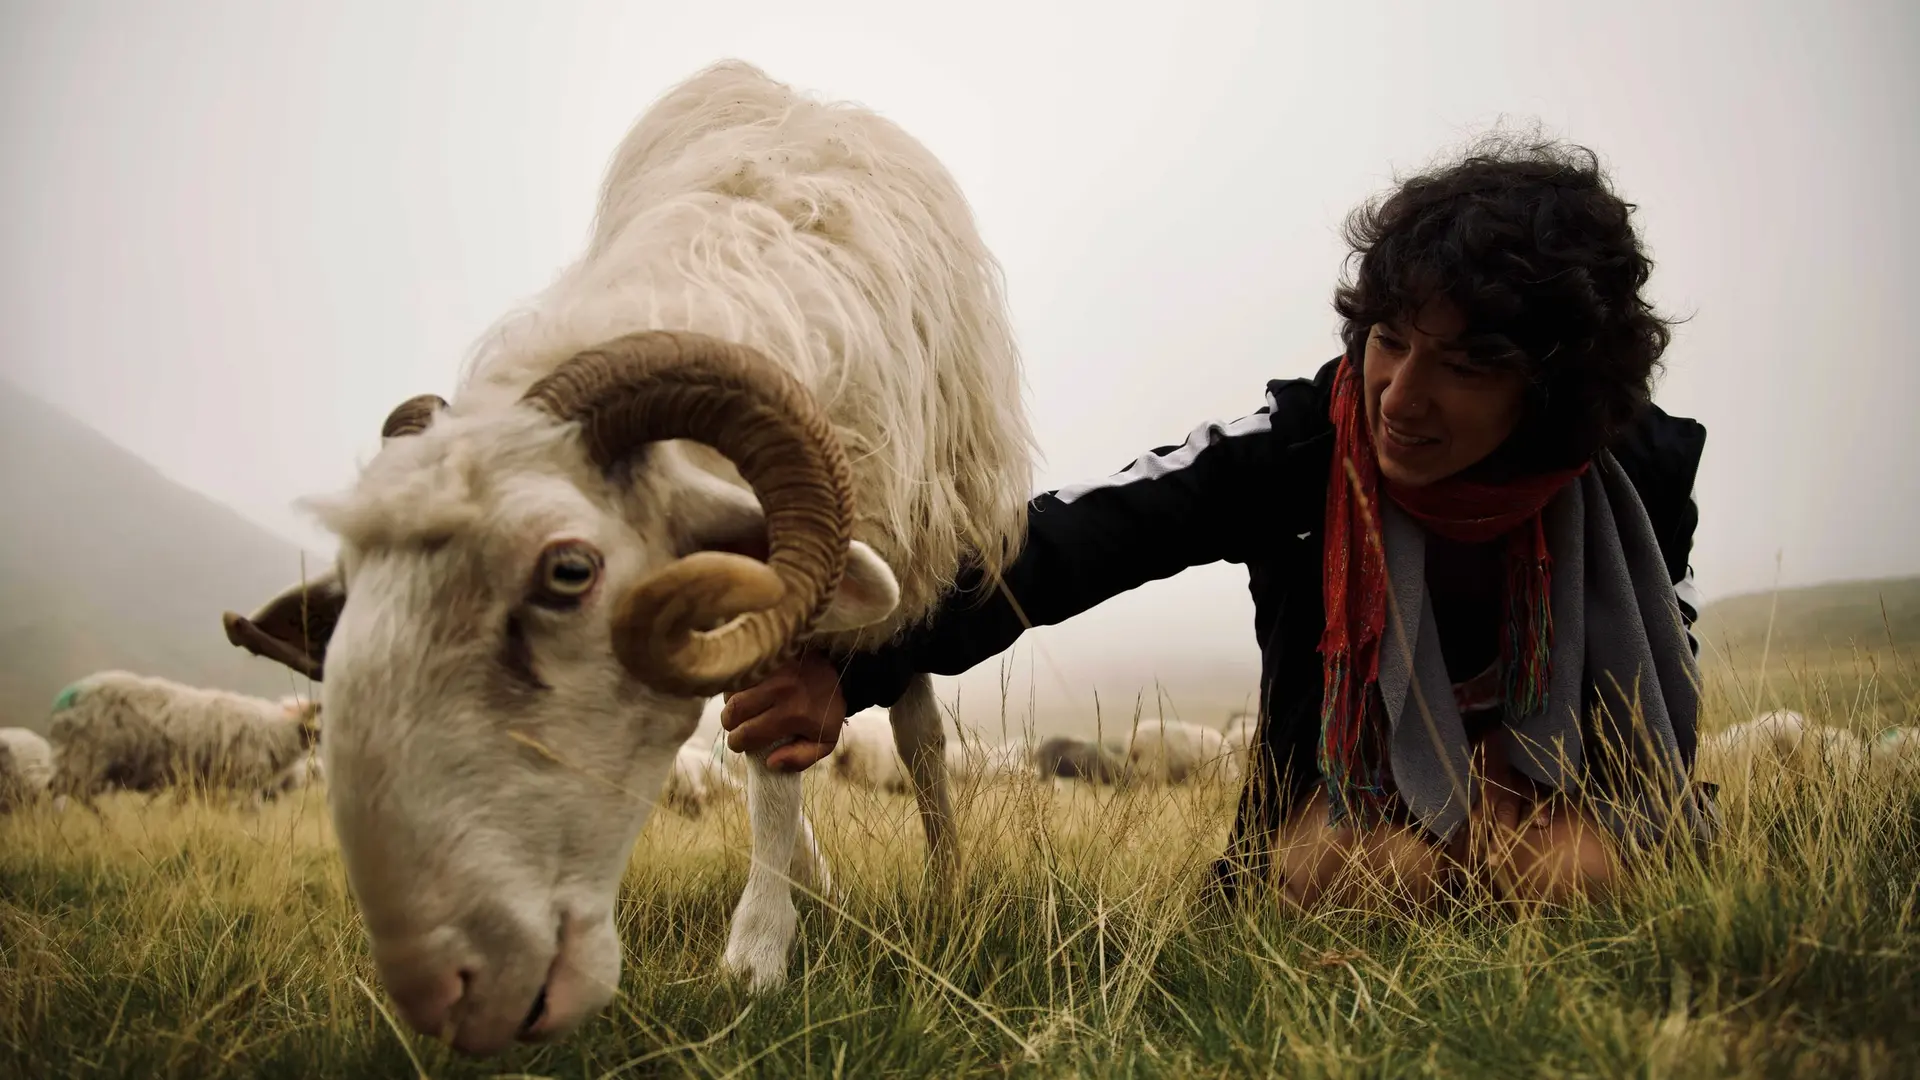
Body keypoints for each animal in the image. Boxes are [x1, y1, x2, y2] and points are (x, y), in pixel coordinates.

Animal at [44, 668, 322, 810]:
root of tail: (71, 695)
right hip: (87, 756)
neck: (276, 728)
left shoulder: (201, 783)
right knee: (69, 792)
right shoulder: (235, 781)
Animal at [214, 58, 1036, 1053]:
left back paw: (939, 878)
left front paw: (758, 953)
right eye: (351, 588)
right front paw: (787, 910)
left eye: (569, 572)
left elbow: (794, 756)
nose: (447, 988)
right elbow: (766, 747)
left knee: (918, 738)